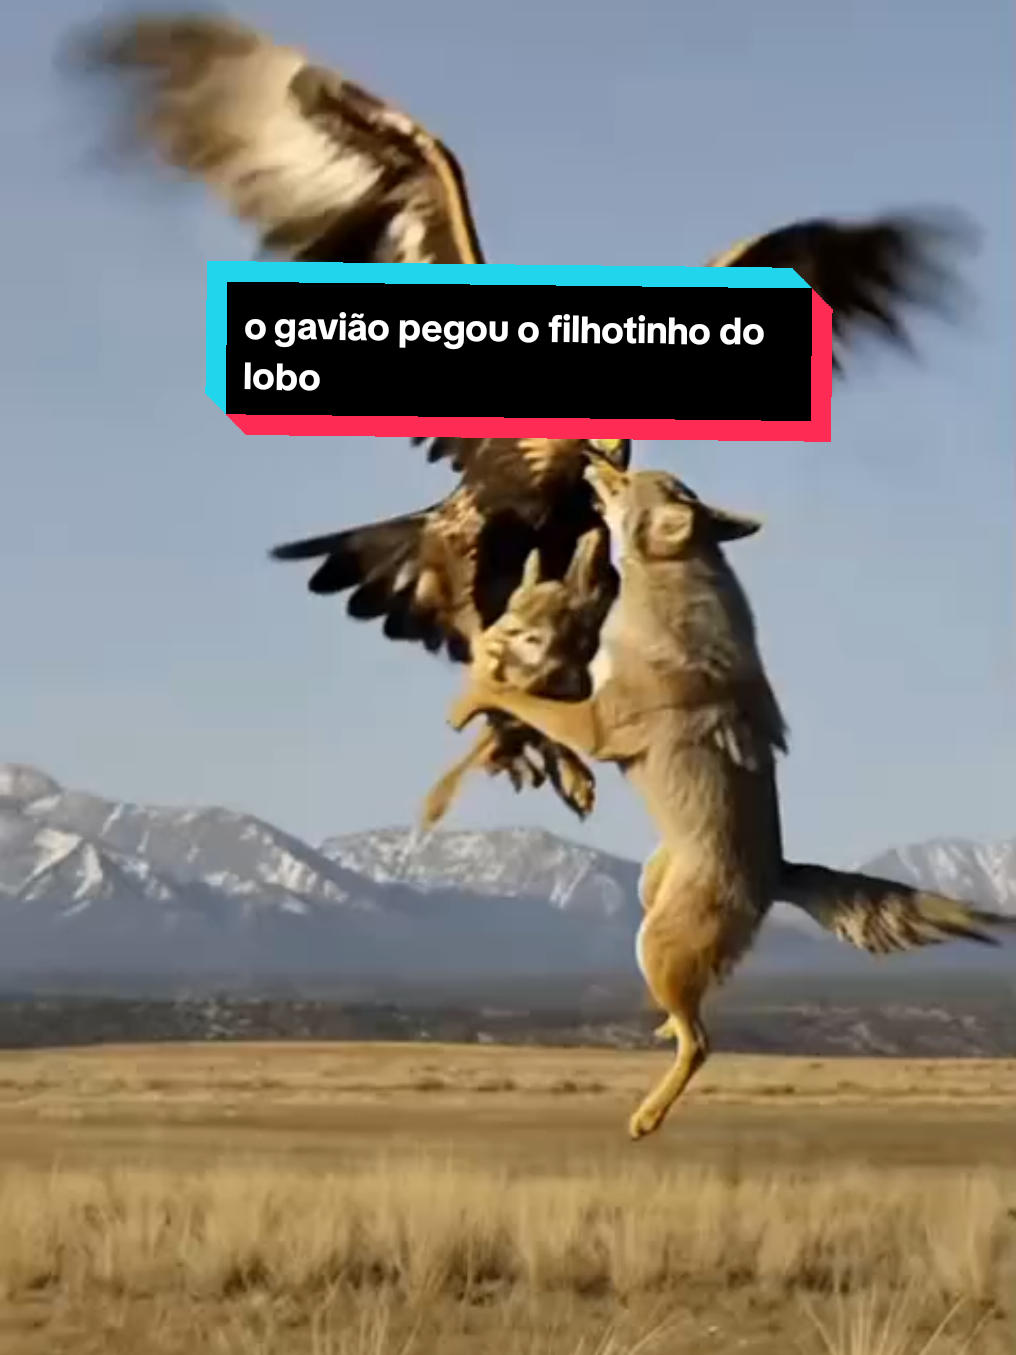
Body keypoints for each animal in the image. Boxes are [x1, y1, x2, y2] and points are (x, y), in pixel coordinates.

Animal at [446, 460, 1015, 1141]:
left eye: (627, 480)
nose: (595, 460)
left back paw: (647, 1115)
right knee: (690, 1013)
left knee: (702, 1042)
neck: (670, 583)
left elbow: (524, 703)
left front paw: (481, 690)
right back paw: (661, 1029)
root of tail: (777, 873)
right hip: (650, 897)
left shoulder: (595, 723)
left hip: (656, 944)